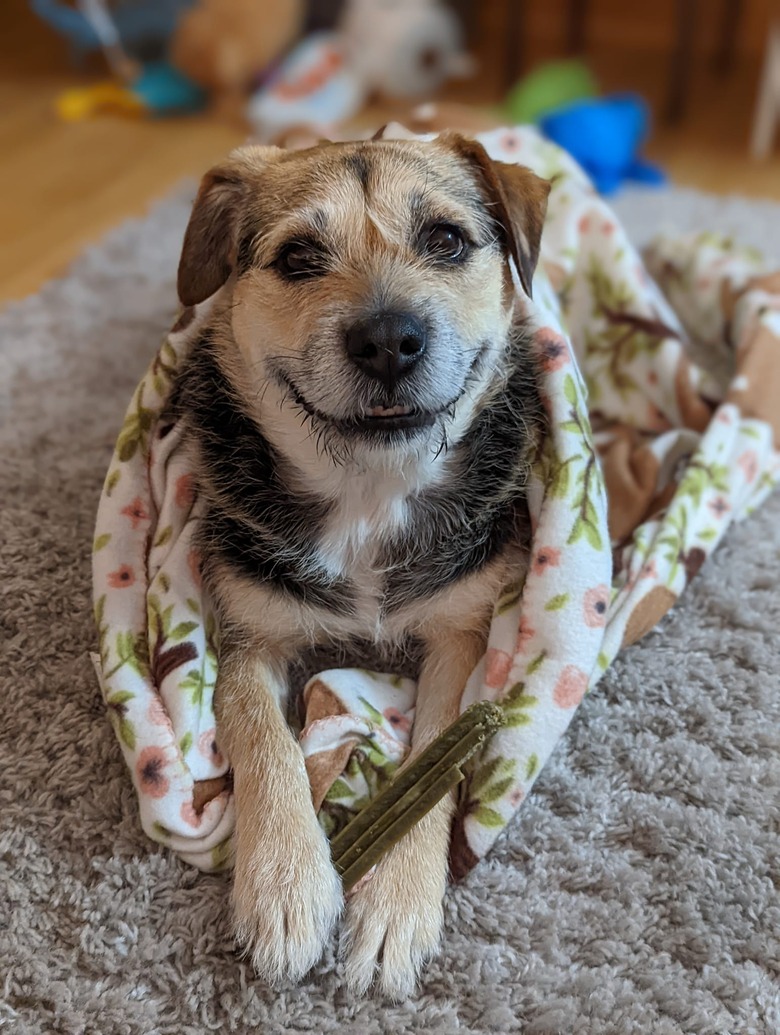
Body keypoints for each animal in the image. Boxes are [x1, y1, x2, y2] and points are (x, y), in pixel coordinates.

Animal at [171, 127, 546, 993]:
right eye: (299, 256)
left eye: (447, 239)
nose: (388, 341)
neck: (370, 490)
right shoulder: (249, 632)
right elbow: (258, 732)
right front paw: (285, 885)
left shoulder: (462, 635)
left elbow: (434, 754)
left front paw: (397, 905)